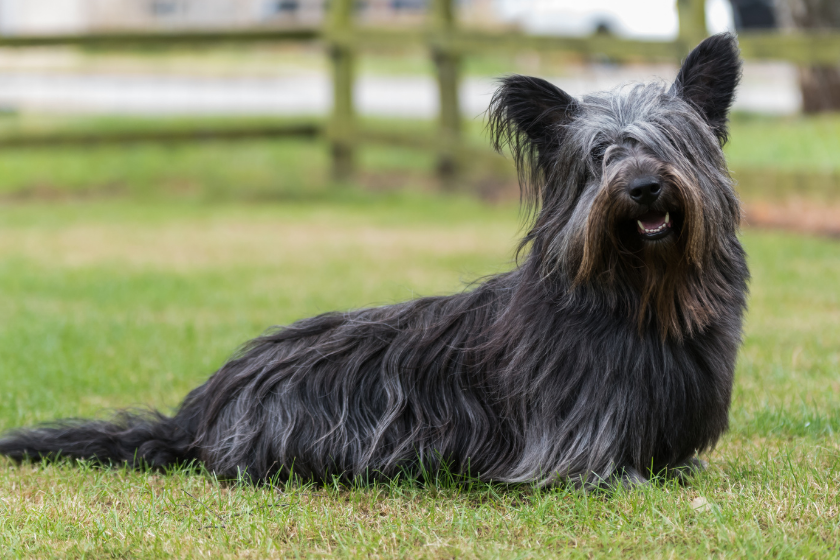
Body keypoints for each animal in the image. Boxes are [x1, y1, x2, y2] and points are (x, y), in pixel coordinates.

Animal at [0, 32, 748, 486]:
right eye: (600, 157)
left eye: (671, 142)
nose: (643, 187)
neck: (637, 296)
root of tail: (196, 414)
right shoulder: (568, 443)